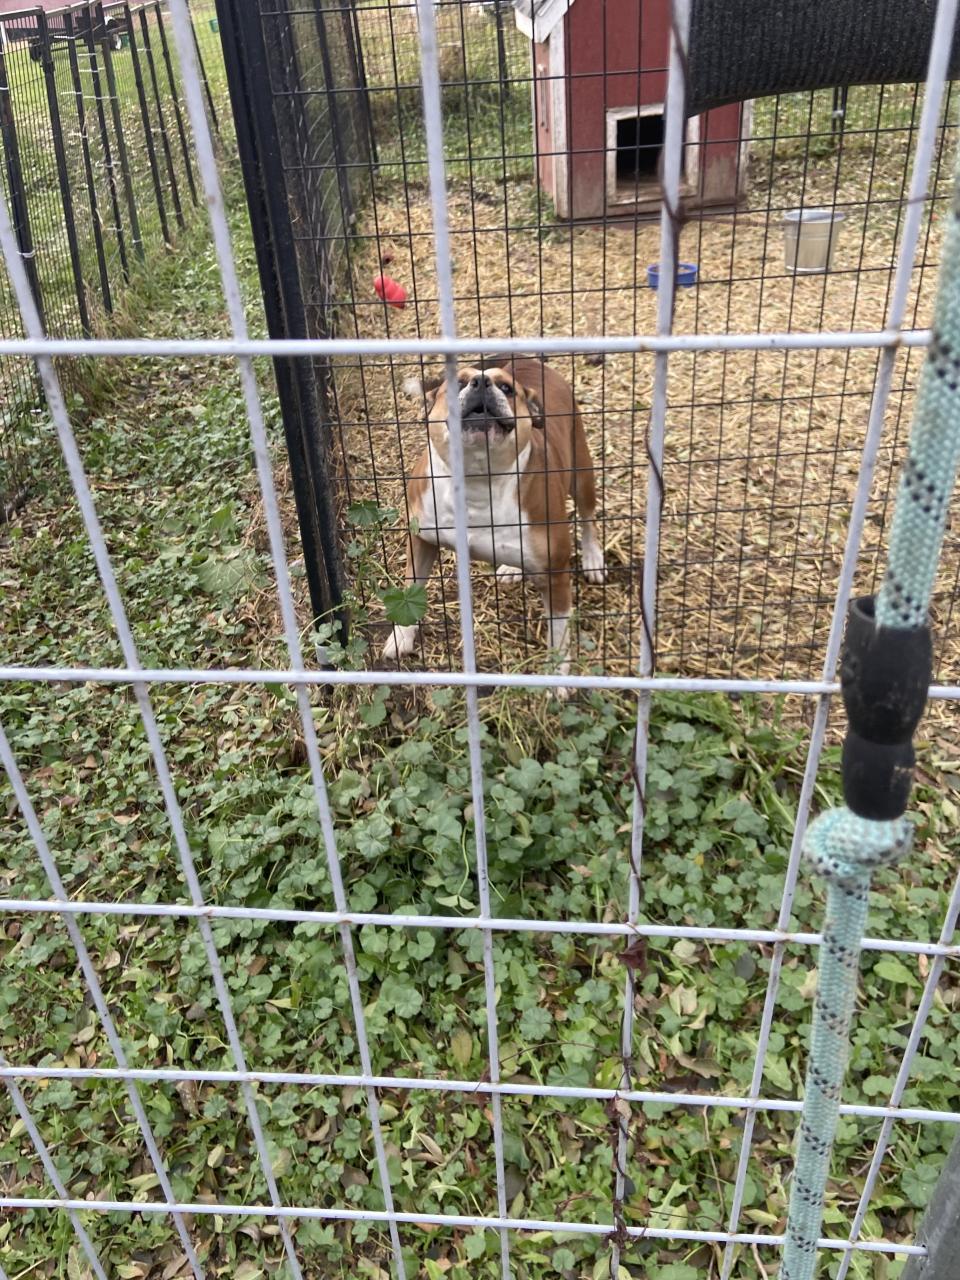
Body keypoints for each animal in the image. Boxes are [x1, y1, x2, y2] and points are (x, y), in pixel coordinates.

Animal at [382, 356, 605, 673]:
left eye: (507, 389)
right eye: (458, 382)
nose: (480, 383)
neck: (477, 480)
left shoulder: (556, 575)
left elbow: (559, 632)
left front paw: (558, 673)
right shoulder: (422, 539)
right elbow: (410, 590)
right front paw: (401, 636)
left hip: (581, 471)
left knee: (588, 517)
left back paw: (592, 558)